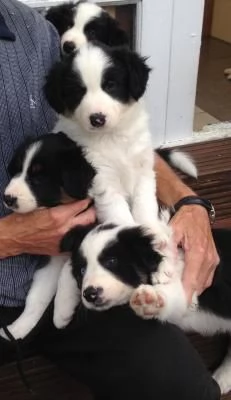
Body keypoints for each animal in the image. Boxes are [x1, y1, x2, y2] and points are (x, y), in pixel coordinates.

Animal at [44, 42, 196, 245]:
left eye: (110, 85)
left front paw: (153, 231)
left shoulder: (144, 171)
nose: (97, 119)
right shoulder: (102, 181)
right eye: (77, 91)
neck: (113, 137)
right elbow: (119, 215)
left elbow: (144, 205)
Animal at [57, 222, 231, 396]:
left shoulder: (185, 289)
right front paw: (61, 311)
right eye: (82, 271)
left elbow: (170, 294)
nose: (90, 294)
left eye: (111, 261)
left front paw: (149, 298)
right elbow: (65, 268)